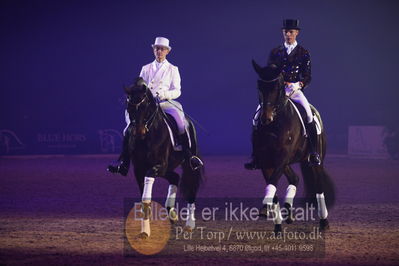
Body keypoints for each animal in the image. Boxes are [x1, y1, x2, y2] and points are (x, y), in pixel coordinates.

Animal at [124, 77, 203, 237]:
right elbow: (144, 199)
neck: (148, 136)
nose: (139, 132)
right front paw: (145, 230)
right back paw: (171, 212)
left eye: (145, 106)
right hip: (167, 168)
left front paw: (145, 230)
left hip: (188, 165)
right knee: (175, 177)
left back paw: (190, 224)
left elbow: (146, 199)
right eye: (129, 107)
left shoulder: (157, 166)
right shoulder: (139, 170)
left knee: (191, 188)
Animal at [253, 61, 334, 232]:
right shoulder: (266, 163)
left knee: (319, 187)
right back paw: (288, 212)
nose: (266, 118)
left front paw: (267, 208)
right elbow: (273, 189)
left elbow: (272, 185)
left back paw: (324, 222)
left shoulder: (281, 159)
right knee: (295, 178)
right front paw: (277, 225)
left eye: (277, 87)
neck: (275, 125)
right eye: (259, 86)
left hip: (316, 162)